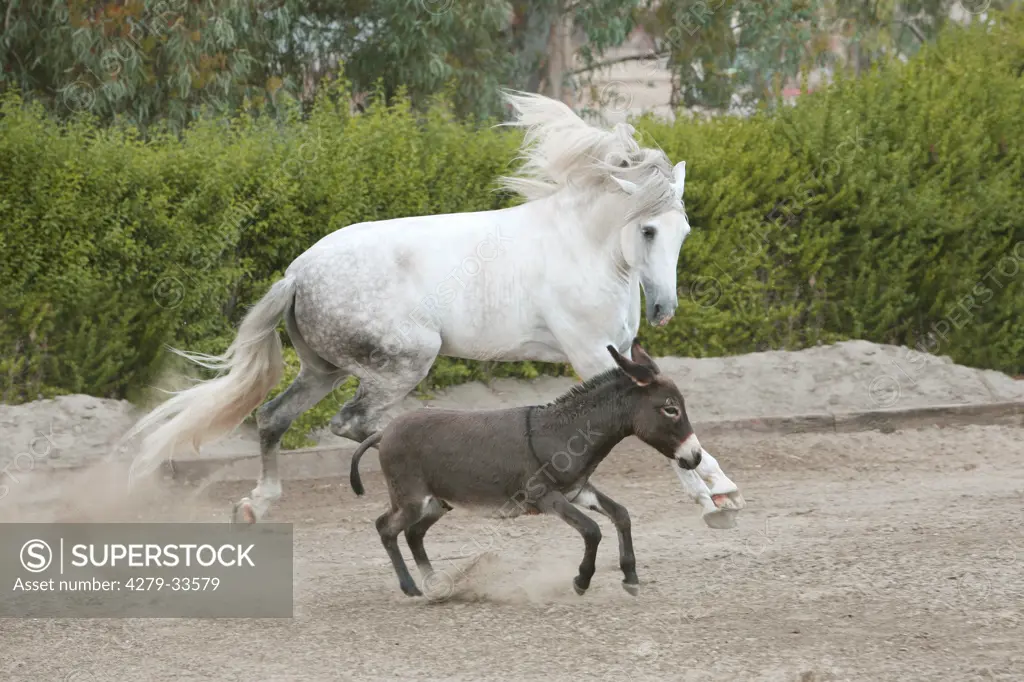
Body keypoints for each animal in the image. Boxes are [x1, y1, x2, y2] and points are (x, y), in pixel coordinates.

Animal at [125, 89, 745, 524]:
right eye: (646, 230)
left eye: (683, 231)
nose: (664, 308)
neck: (585, 248)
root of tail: (298, 273)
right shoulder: (593, 355)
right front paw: (711, 497)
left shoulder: (623, 353)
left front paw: (720, 488)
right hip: (406, 360)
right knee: (355, 423)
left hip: (324, 369)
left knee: (274, 417)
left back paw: (256, 503)